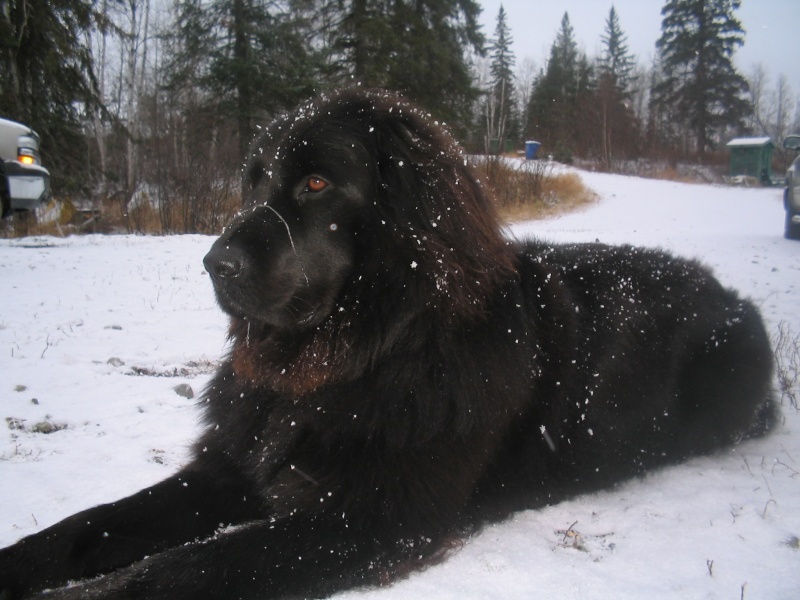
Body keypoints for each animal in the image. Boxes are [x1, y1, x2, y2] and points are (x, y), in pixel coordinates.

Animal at [0, 90, 776, 600]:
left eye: (316, 182)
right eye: (253, 181)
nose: (214, 263)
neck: (358, 358)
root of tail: (730, 295)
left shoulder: (370, 519)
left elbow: (186, 567)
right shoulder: (233, 467)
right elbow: (88, 525)